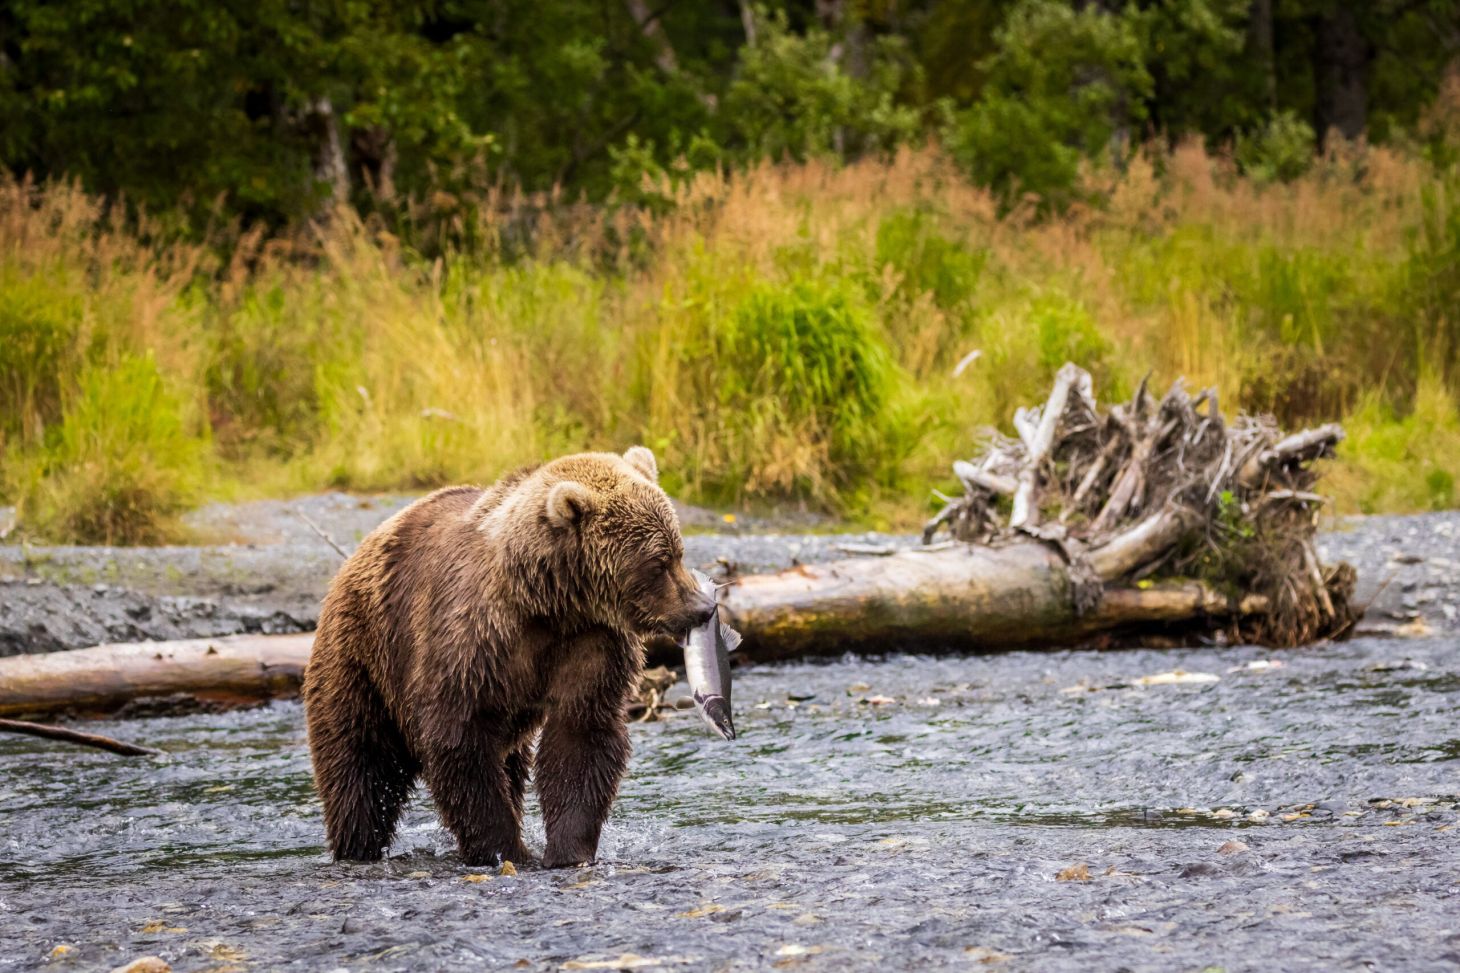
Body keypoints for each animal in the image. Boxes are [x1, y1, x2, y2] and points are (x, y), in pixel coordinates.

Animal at [301, 446, 716, 868]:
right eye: (658, 562)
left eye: (678, 551)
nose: (703, 607)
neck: (546, 603)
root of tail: (352, 560)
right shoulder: (470, 640)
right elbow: (459, 741)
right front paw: (505, 849)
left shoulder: (592, 641)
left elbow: (581, 734)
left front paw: (568, 849)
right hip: (363, 656)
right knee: (359, 766)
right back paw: (356, 846)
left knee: (510, 767)